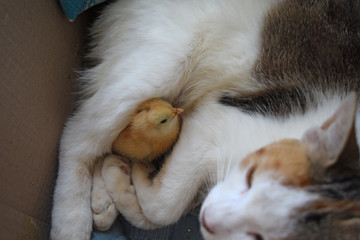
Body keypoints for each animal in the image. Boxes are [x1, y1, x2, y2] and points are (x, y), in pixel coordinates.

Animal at [50, 0, 360, 240]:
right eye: (251, 180)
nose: (209, 219)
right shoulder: (220, 119)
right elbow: (164, 207)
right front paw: (132, 182)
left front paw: (121, 183)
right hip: (161, 64)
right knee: (77, 135)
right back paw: (71, 220)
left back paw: (103, 200)